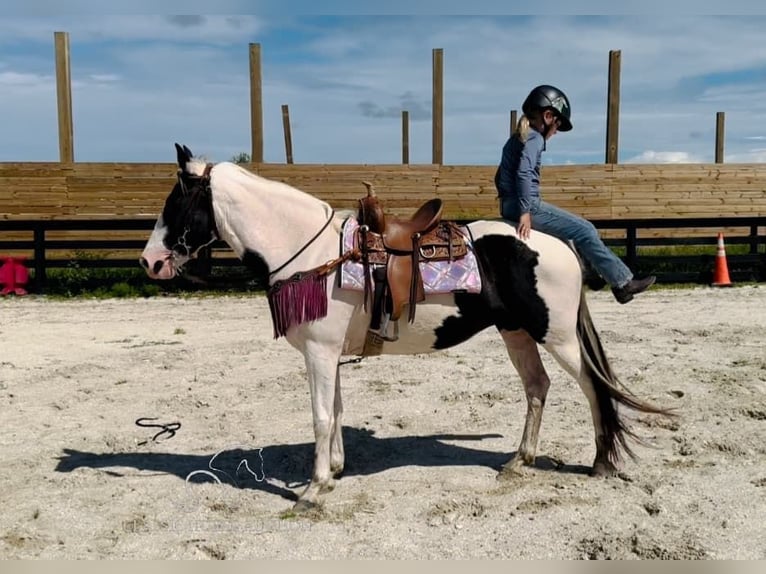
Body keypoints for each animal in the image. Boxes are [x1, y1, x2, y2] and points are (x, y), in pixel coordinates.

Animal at [141, 144, 668, 512]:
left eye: (175, 204)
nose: (150, 262)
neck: (311, 252)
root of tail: (560, 245)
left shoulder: (319, 352)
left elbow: (320, 415)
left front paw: (312, 490)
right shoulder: (329, 354)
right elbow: (336, 409)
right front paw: (334, 471)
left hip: (556, 336)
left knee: (593, 388)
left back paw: (600, 463)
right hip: (516, 333)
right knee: (538, 387)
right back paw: (519, 461)